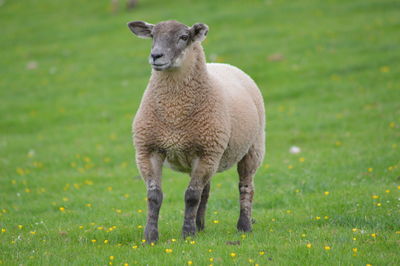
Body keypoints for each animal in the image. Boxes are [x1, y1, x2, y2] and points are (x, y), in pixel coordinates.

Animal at [128, 19, 266, 242]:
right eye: (153, 35)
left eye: (184, 37)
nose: (156, 56)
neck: (174, 114)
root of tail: (223, 65)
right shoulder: (148, 150)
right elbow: (154, 196)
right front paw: (150, 236)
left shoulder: (206, 152)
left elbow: (191, 196)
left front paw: (187, 234)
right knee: (206, 191)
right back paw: (200, 225)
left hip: (252, 148)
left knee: (246, 187)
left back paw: (244, 226)